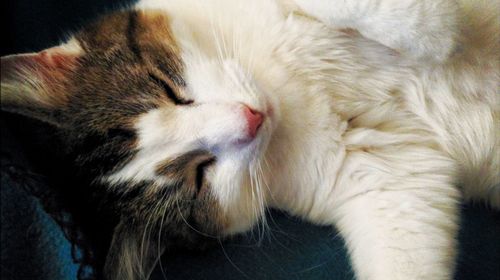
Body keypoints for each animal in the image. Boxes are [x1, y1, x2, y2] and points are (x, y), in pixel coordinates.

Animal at [0, 0, 498, 278]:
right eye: (200, 176)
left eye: (168, 87)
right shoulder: (385, 180)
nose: (251, 118)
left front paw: (433, 33)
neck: (285, 90)